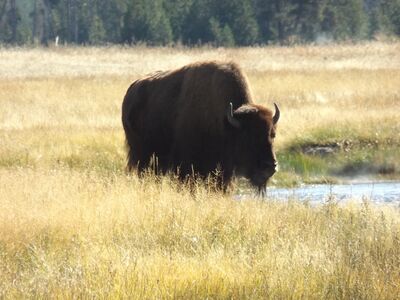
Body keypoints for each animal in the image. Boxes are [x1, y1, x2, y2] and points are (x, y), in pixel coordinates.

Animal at [120, 61, 280, 192]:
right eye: (249, 137)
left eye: (273, 135)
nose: (270, 166)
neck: (227, 122)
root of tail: (131, 90)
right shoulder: (187, 167)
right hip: (142, 156)